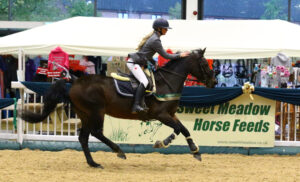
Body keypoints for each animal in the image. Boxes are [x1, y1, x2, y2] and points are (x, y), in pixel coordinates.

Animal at [21, 48, 218, 168]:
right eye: (204, 64)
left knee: (84, 137)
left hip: (85, 114)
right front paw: (162, 142)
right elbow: (177, 129)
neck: (167, 83)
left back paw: (93, 163)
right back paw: (119, 151)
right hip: (96, 112)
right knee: (96, 133)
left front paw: (195, 151)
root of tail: (75, 81)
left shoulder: (170, 114)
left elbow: (184, 129)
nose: (214, 82)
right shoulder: (161, 114)